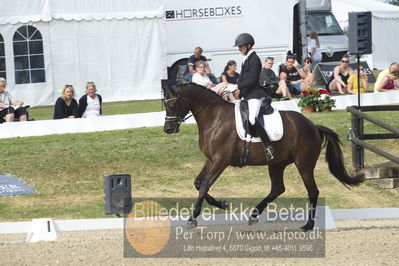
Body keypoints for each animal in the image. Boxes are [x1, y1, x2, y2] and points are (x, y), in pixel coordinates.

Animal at [161, 80, 364, 231]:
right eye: (165, 103)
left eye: (173, 103)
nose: (168, 129)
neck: (214, 117)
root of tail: (313, 126)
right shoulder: (210, 160)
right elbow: (198, 183)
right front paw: (222, 204)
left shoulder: (220, 161)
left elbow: (204, 185)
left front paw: (193, 218)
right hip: (276, 163)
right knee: (278, 188)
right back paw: (254, 215)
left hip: (304, 165)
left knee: (312, 191)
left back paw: (308, 225)